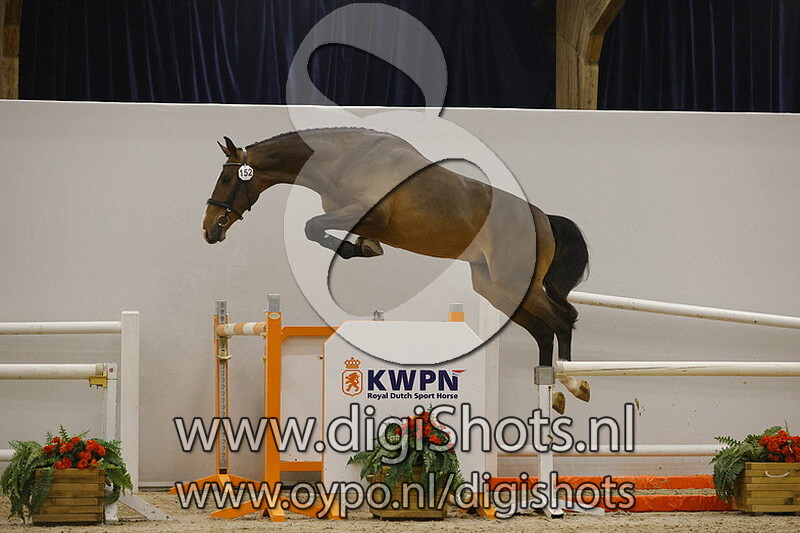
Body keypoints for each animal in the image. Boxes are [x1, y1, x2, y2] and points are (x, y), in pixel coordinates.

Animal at [202, 128, 590, 411]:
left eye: (226, 180)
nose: (209, 229)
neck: (345, 160)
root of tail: (543, 218)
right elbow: (324, 231)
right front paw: (363, 248)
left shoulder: (365, 212)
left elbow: (312, 227)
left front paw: (354, 249)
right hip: (493, 287)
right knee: (543, 330)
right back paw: (551, 387)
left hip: (510, 281)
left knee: (563, 318)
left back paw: (573, 382)